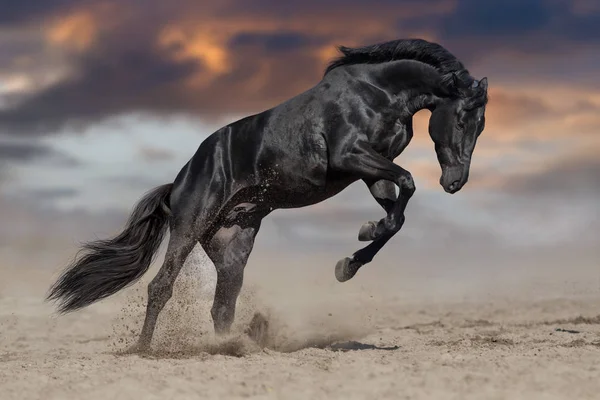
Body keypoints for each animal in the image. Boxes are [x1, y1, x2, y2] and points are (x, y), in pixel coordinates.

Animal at [47, 37, 488, 350]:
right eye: (463, 119)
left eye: (481, 125)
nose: (455, 182)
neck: (377, 93)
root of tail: (178, 182)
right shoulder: (353, 156)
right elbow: (408, 185)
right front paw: (357, 248)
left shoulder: (371, 171)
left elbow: (396, 216)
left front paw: (350, 259)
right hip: (190, 227)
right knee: (161, 287)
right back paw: (143, 349)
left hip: (233, 243)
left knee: (223, 304)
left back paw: (232, 346)